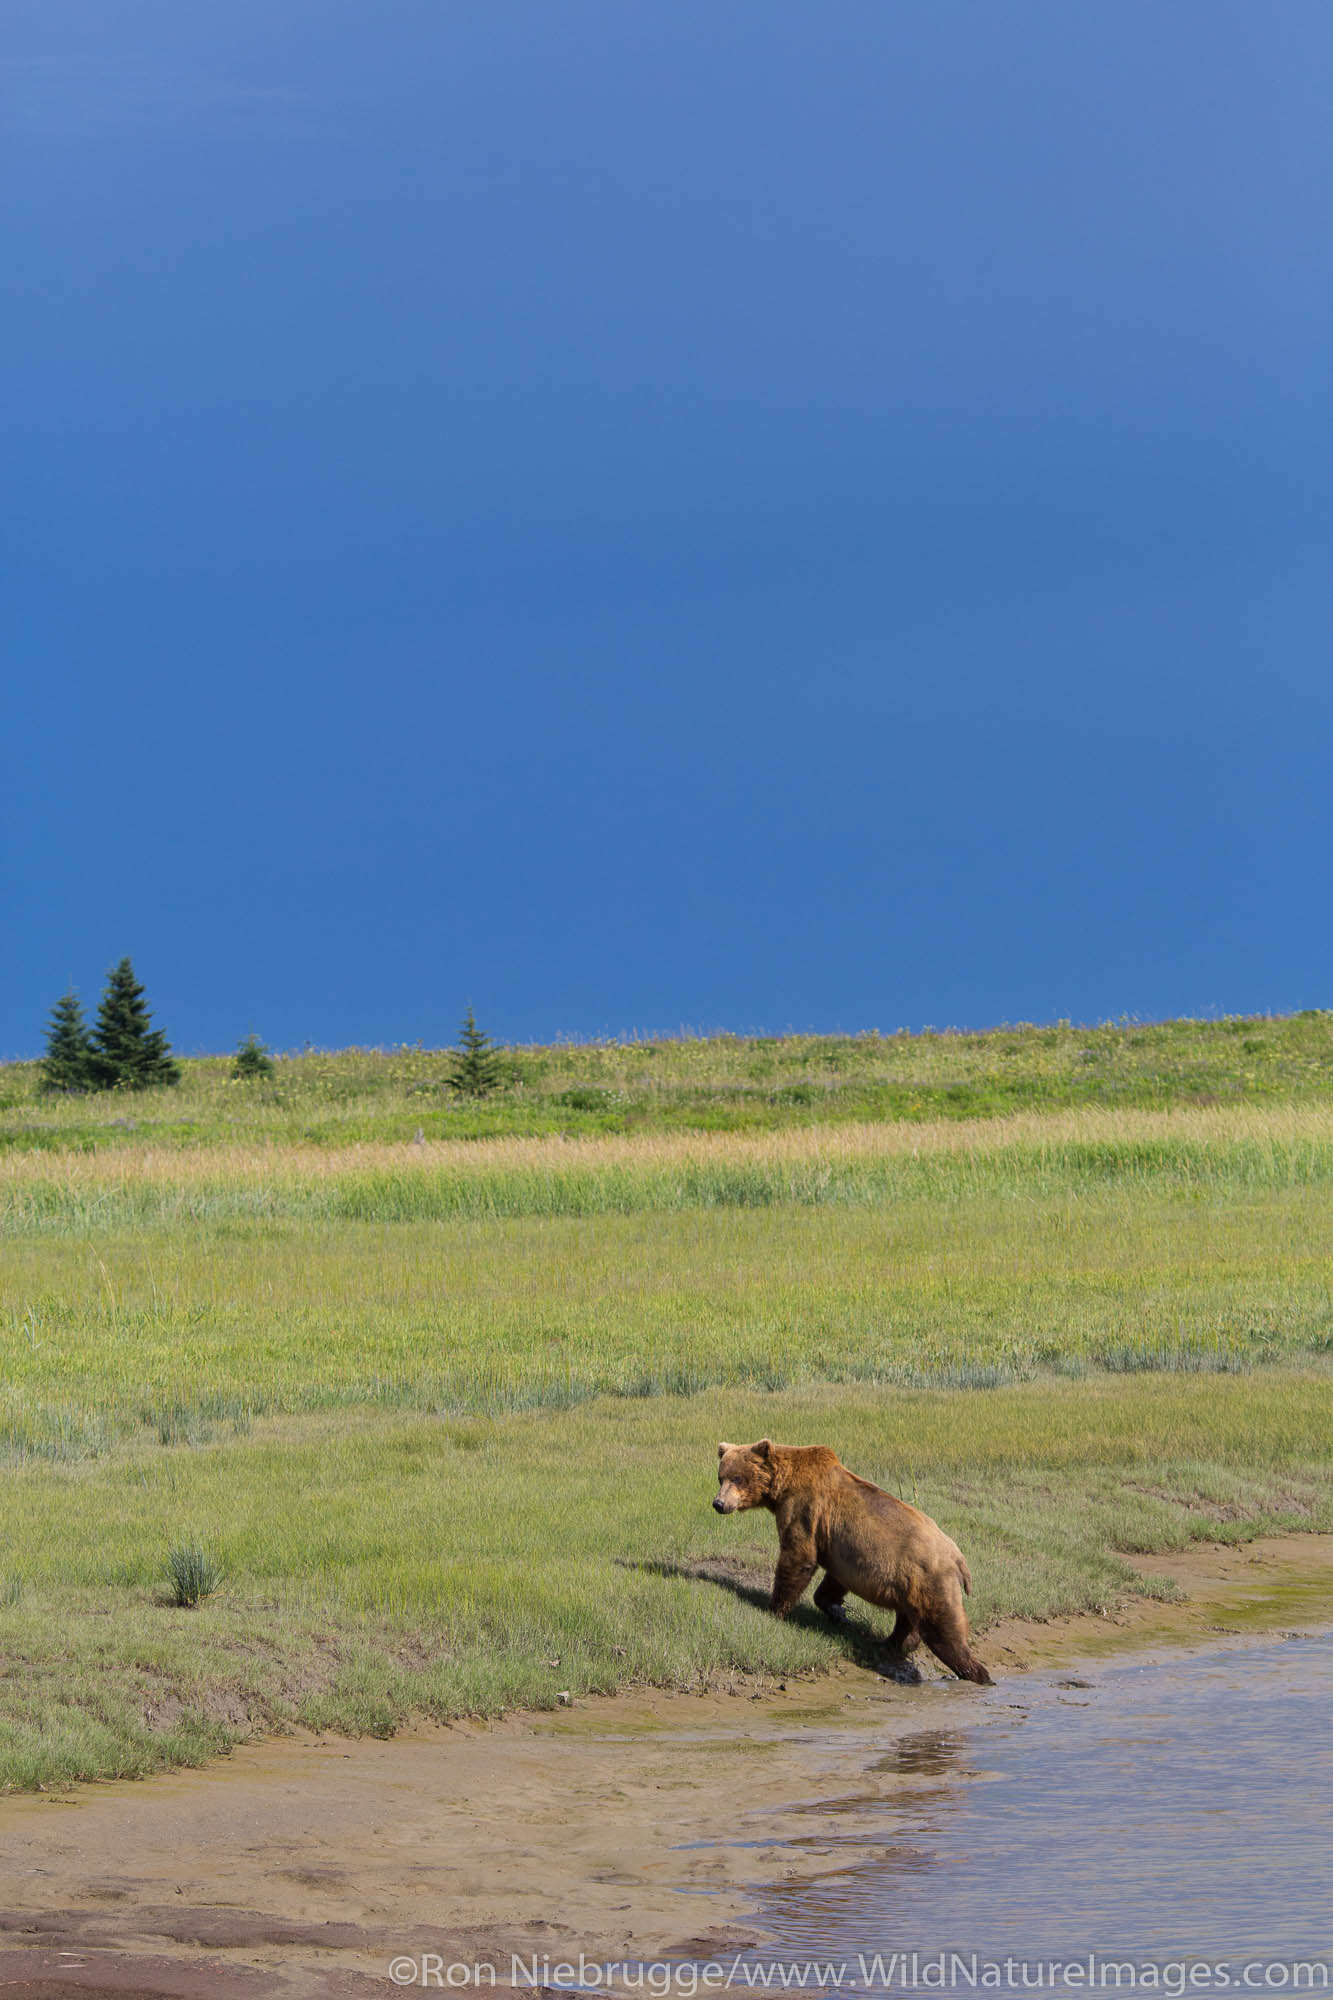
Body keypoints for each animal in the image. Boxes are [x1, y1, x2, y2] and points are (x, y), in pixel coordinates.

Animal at [716, 1448, 984, 1680]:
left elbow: (798, 1559)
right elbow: (832, 1583)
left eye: (738, 1478)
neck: (782, 1488)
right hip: (910, 1586)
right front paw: (838, 1612)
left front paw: (775, 1609)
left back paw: (977, 1673)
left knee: (945, 1631)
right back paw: (892, 1643)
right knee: (908, 1620)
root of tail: (959, 1558)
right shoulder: (842, 1552)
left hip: (931, 1581)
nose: (718, 1503)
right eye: (721, 1477)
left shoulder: (805, 1510)